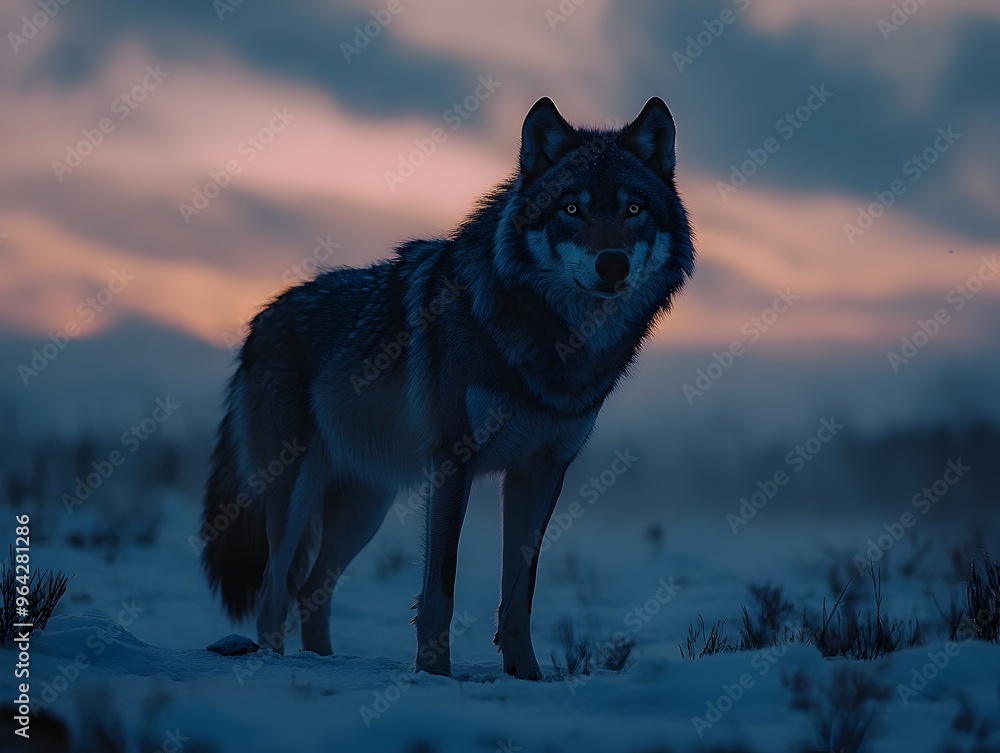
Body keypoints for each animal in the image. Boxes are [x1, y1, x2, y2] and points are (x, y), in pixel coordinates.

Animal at [201, 96, 694, 679]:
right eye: (571, 209)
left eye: (634, 209)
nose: (612, 264)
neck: (556, 347)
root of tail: (259, 320)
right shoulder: (454, 460)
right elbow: (441, 587)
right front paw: (433, 674)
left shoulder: (541, 473)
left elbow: (520, 594)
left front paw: (526, 677)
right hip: (295, 493)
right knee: (274, 589)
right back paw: (276, 664)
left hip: (366, 505)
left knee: (312, 589)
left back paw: (324, 662)